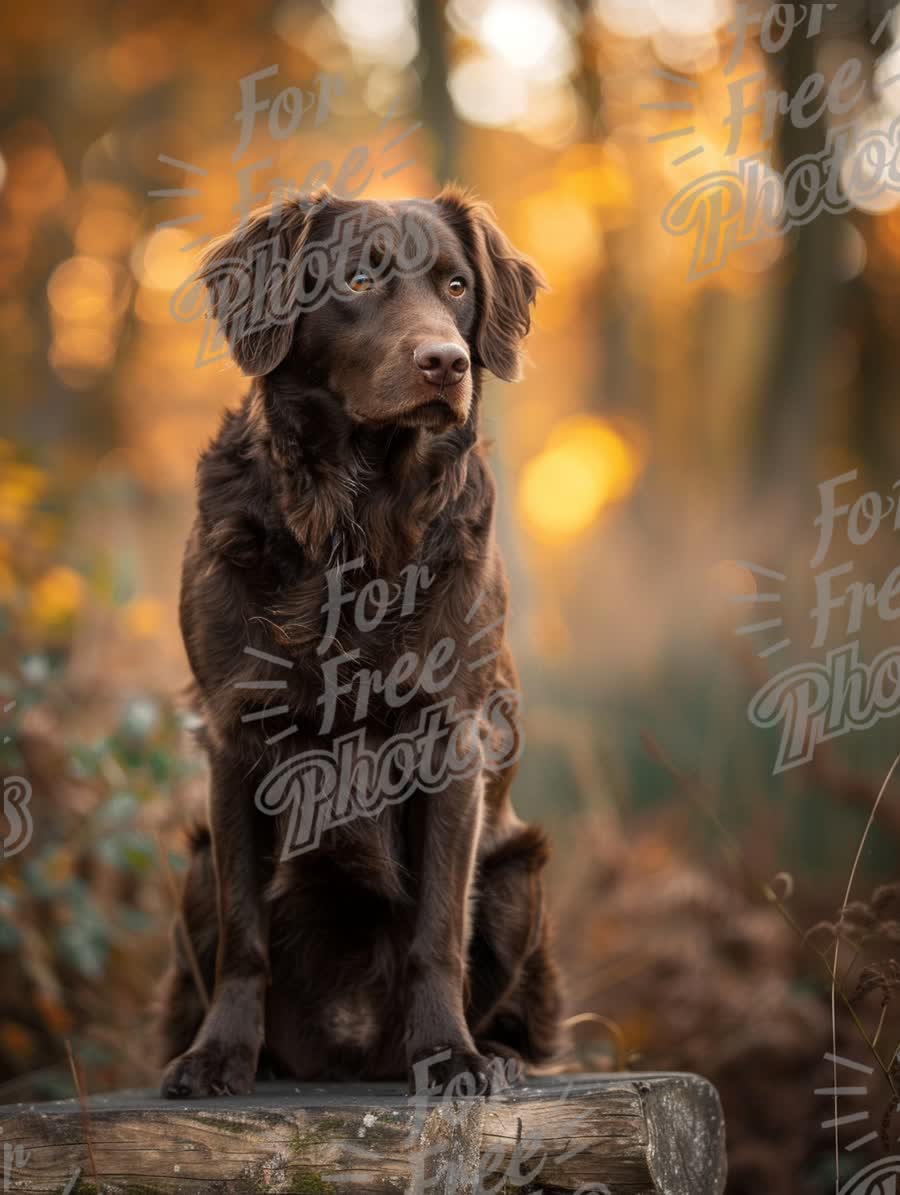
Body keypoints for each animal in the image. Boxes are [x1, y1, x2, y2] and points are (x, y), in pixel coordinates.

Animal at [157, 188, 559, 1099]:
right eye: (359, 278)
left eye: (455, 285)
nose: (447, 362)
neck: (355, 522)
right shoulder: (234, 740)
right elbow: (245, 934)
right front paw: (219, 1055)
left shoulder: (448, 739)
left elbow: (437, 929)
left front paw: (449, 1055)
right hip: (192, 866)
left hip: (519, 872)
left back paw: (500, 1054)